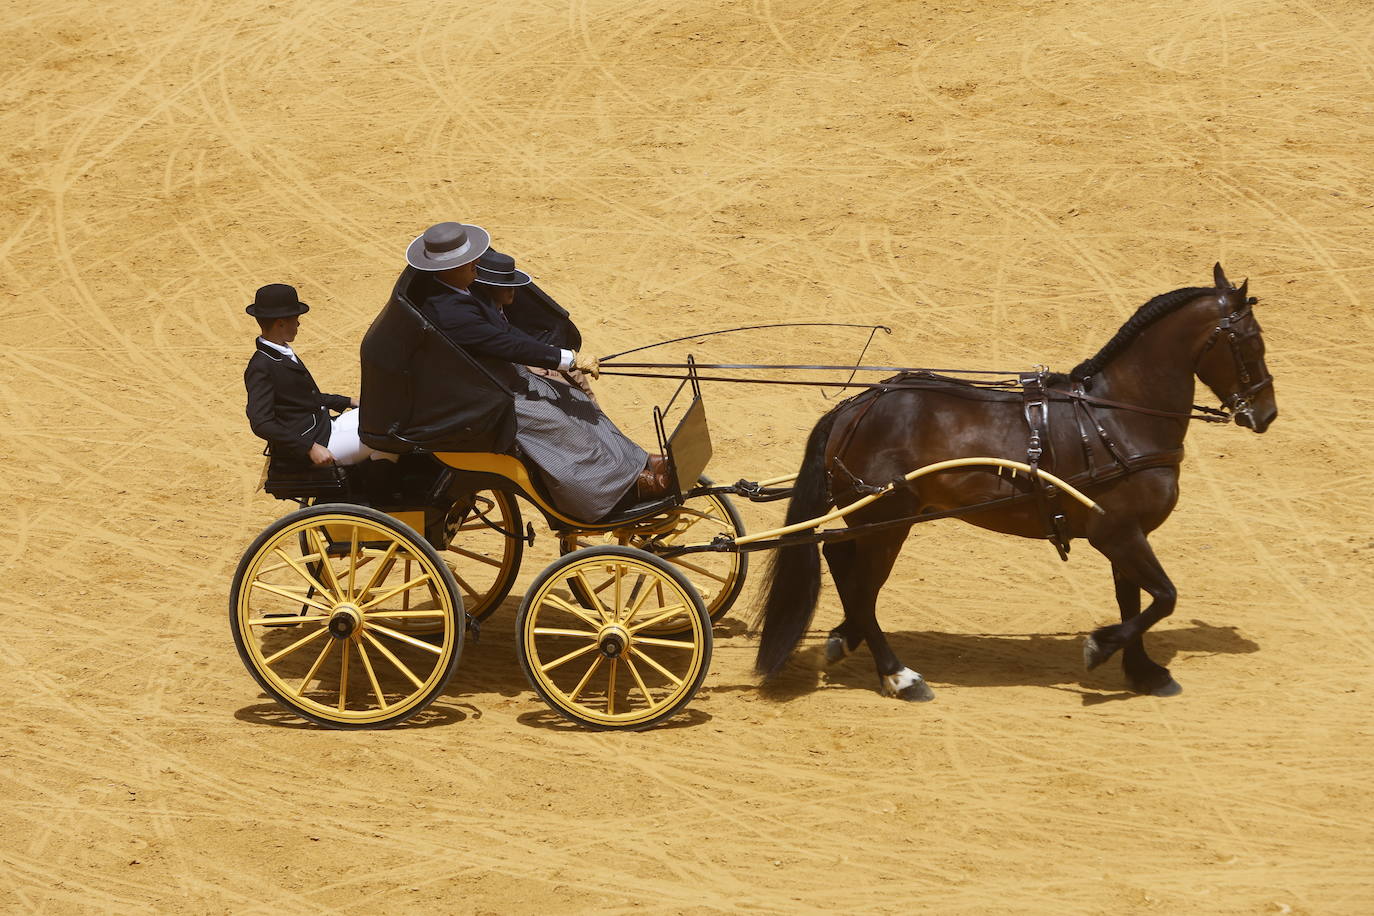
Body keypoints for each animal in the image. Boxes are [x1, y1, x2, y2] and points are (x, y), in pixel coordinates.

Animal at [752, 265, 1275, 703]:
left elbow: (1132, 601)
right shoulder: (1118, 533)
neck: (1116, 419)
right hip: (887, 521)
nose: (1266, 414)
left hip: (876, 519)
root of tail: (854, 407)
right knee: (862, 587)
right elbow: (1163, 597)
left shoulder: (1126, 535)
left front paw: (1143, 670)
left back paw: (848, 638)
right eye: (1251, 339)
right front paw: (1100, 647)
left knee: (842, 563)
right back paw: (899, 675)